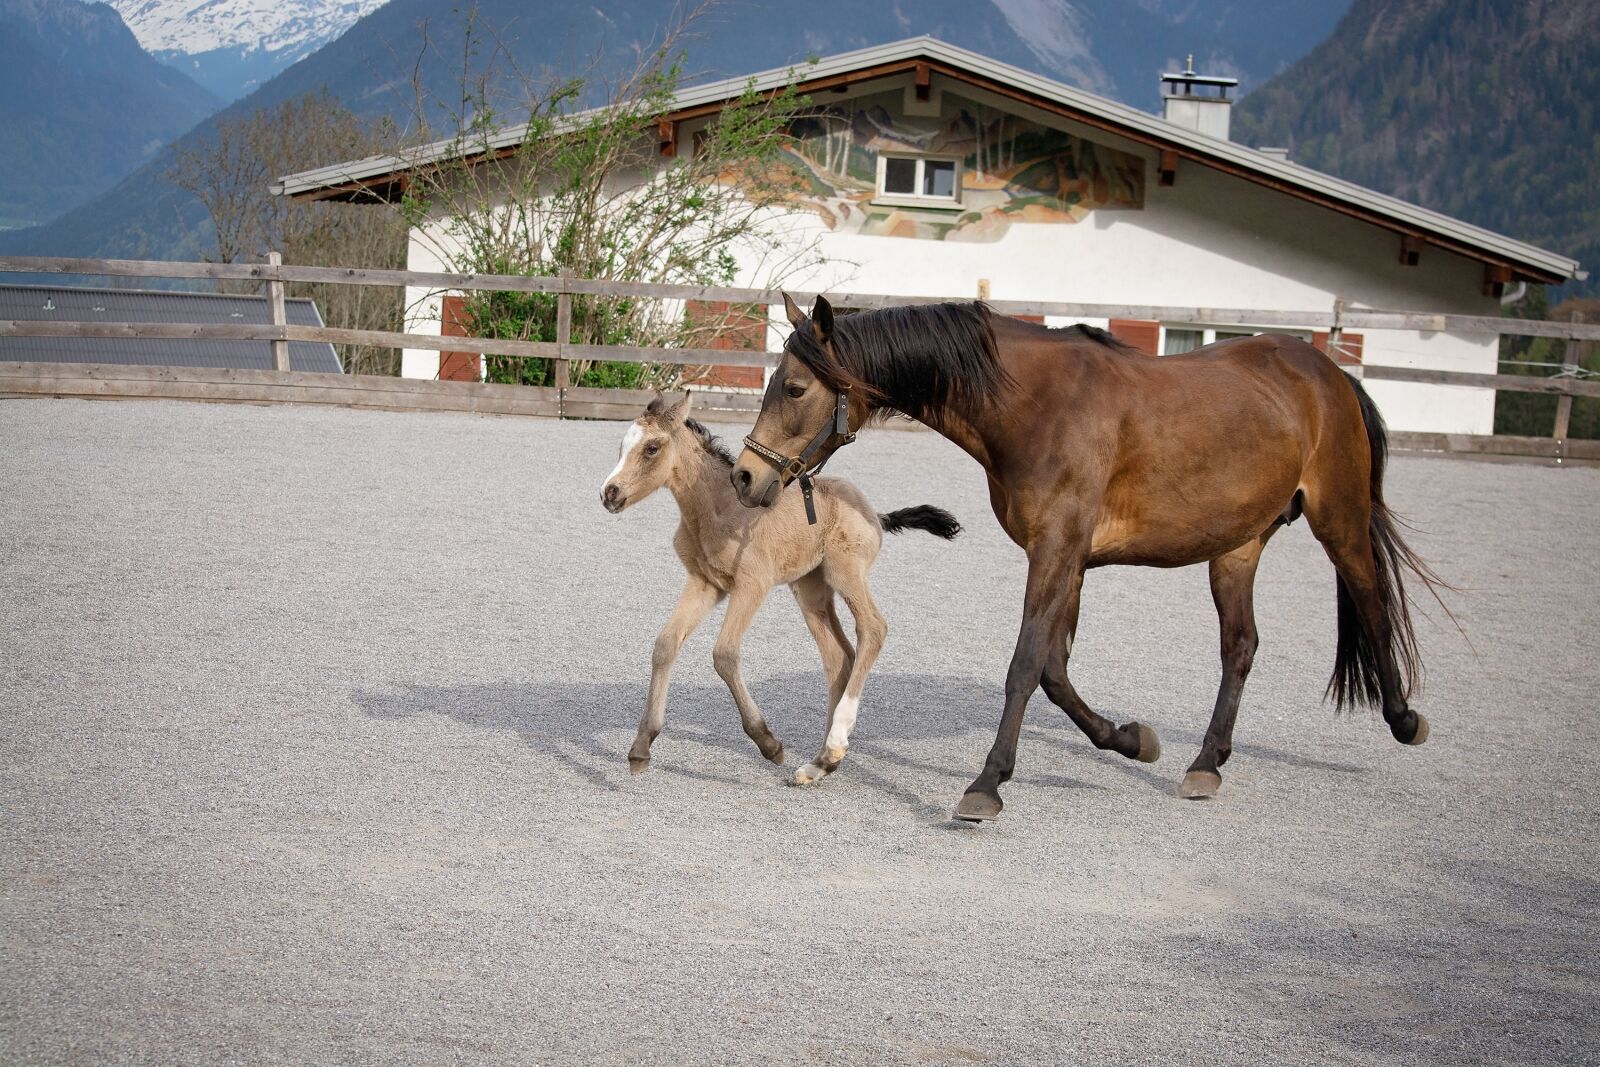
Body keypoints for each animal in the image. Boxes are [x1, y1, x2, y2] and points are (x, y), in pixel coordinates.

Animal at [601, 393, 961, 784]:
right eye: (622, 447)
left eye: (652, 448)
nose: (609, 493)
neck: (716, 508)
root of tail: (874, 513)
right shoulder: (706, 583)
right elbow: (665, 645)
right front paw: (641, 748)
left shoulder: (751, 584)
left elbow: (724, 654)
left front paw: (768, 743)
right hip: (810, 589)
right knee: (839, 657)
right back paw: (822, 762)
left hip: (846, 572)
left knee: (873, 628)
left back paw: (834, 743)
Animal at [732, 294, 1446, 822]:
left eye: (793, 389)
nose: (744, 476)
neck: (1036, 405)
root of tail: (1329, 373)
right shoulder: (1067, 558)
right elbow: (1054, 672)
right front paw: (1129, 740)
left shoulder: (1056, 550)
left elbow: (1025, 665)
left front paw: (986, 785)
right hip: (1236, 548)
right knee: (1240, 646)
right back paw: (1205, 764)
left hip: (1340, 523)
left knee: (1373, 607)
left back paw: (1404, 718)